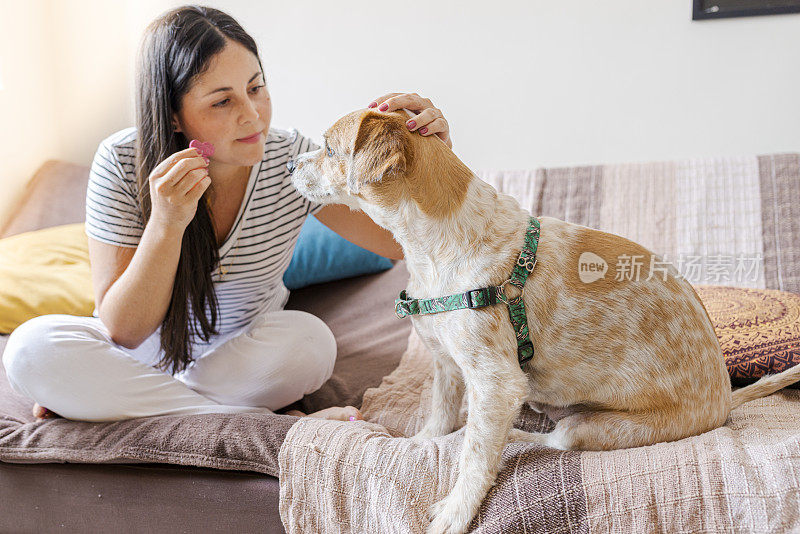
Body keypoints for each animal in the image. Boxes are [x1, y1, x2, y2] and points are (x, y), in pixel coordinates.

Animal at [290, 109, 800, 534]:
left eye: (329, 148)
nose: (292, 162)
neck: (434, 249)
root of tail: (727, 398)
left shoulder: (495, 383)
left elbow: (475, 456)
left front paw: (455, 510)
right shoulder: (447, 363)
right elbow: (438, 417)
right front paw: (423, 443)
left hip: (595, 428)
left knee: (552, 441)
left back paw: (516, 434)